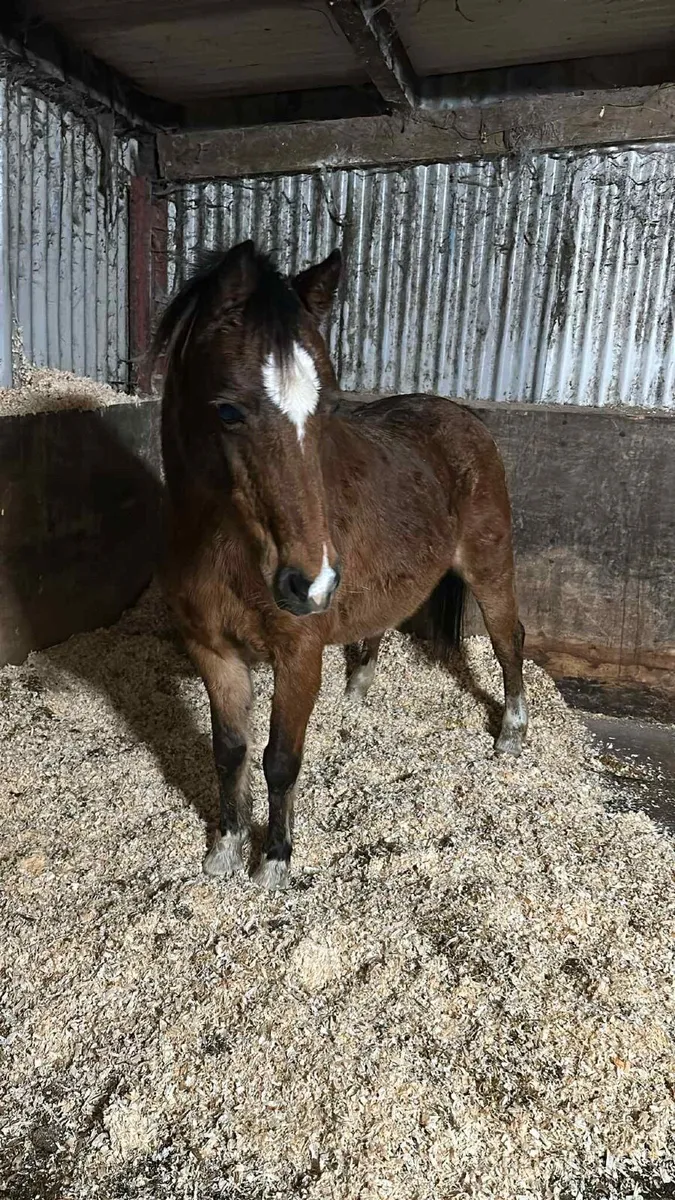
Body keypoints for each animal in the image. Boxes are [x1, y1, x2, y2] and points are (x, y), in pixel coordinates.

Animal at [153, 240, 528, 890]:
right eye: (227, 411)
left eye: (327, 405)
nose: (314, 582)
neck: (226, 548)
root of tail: (465, 417)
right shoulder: (213, 652)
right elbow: (229, 752)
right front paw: (225, 849)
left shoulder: (298, 656)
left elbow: (280, 759)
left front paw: (273, 862)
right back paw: (358, 694)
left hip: (490, 567)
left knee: (510, 639)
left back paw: (511, 732)